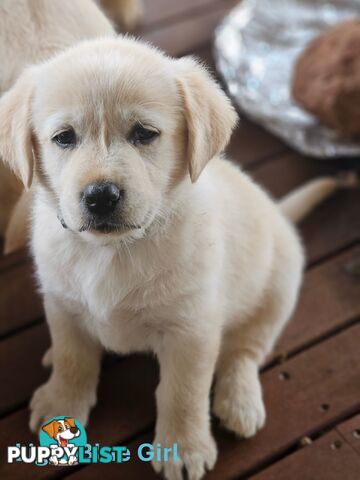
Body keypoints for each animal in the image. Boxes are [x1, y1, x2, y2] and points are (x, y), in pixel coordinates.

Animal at [0, 37, 348, 480]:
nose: (100, 196)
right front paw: (61, 404)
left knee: (245, 351)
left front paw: (183, 446)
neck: (114, 251)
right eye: (64, 138)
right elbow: (71, 357)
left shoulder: (192, 330)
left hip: (277, 290)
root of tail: (278, 214)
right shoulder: (62, 303)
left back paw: (240, 401)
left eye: (144, 134)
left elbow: (182, 392)